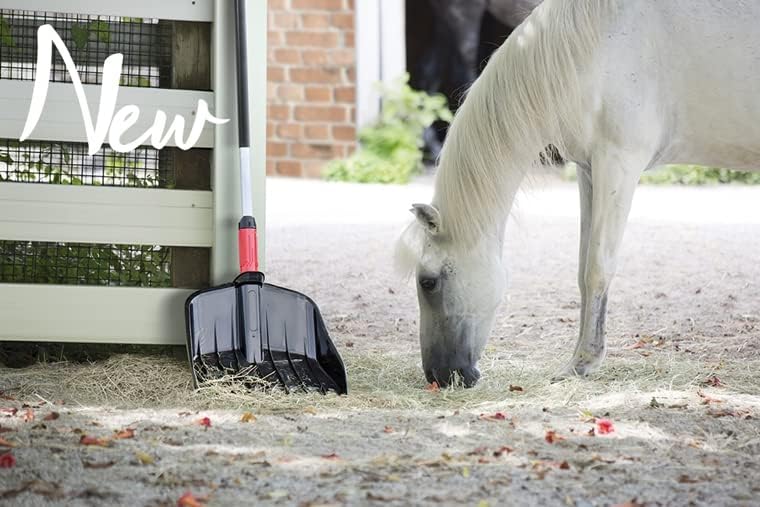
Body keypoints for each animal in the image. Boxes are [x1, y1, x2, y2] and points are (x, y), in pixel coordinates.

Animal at [398, 0, 760, 386]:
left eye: (428, 282)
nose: (439, 375)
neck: (599, 43)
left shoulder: (618, 164)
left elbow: (598, 268)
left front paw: (583, 362)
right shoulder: (590, 171)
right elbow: (582, 271)